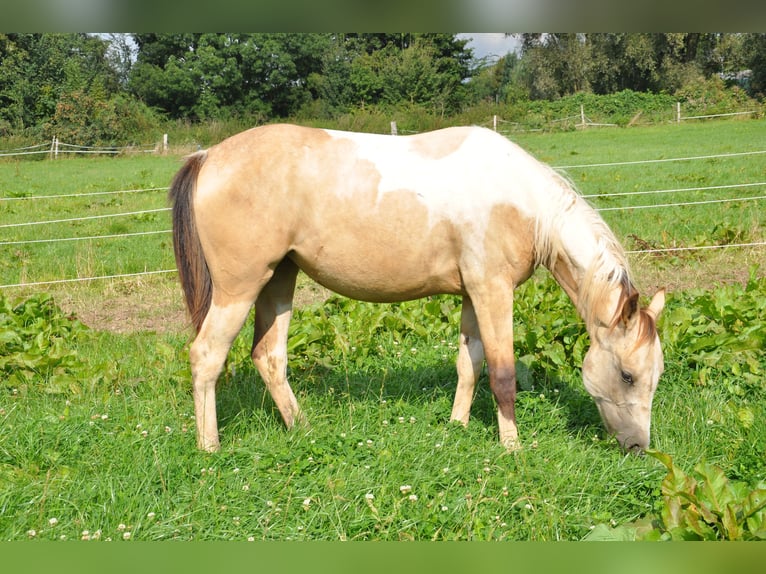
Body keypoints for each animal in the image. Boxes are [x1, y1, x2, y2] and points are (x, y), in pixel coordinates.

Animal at [169, 123, 665, 453]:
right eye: (628, 375)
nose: (638, 447)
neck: (521, 200)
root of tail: (208, 156)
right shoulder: (494, 291)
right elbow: (502, 374)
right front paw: (512, 447)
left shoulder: (472, 295)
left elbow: (469, 365)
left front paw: (458, 426)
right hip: (239, 289)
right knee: (206, 356)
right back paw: (210, 448)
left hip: (278, 280)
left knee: (269, 357)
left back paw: (303, 428)